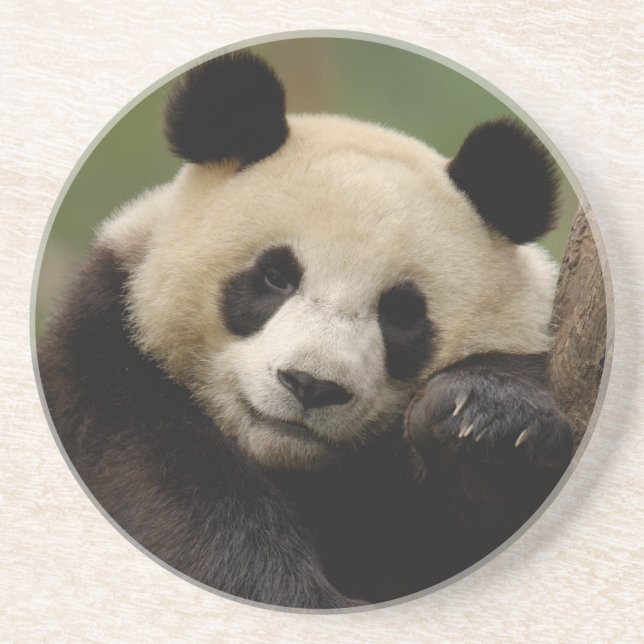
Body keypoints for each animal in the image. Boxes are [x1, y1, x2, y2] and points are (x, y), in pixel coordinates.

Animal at [38, 52, 573, 609]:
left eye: (402, 314)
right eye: (276, 277)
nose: (312, 385)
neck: (292, 464)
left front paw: (487, 423)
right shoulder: (112, 378)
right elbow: (183, 511)